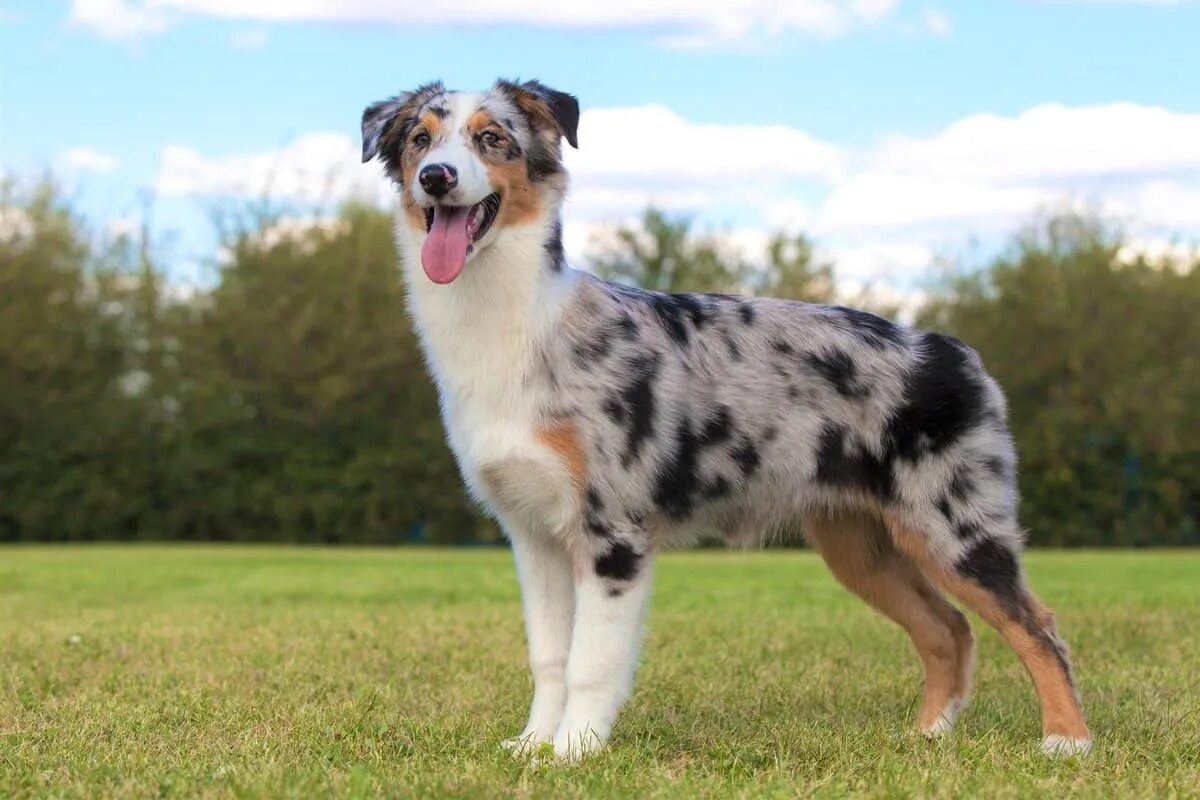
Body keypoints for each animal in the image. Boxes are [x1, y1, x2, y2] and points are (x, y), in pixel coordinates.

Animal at [355, 81, 1089, 762]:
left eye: (492, 139)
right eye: (419, 140)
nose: (436, 177)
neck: (515, 324)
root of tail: (955, 350)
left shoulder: (612, 535)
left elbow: (592, 662)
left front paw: (574, 753)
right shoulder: (533, 537)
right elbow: (550, 657)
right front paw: (535, 744)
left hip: (955, 527)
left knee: (1038, 625)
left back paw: (1066, 742)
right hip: (861, 546)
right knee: (949, 629)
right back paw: (928, 736)